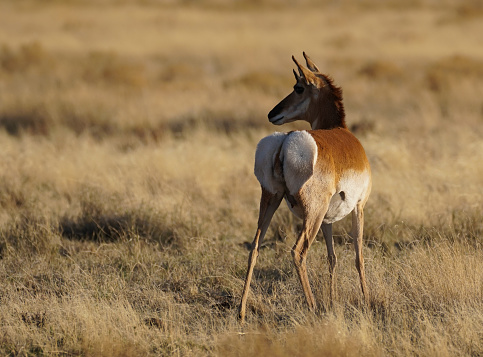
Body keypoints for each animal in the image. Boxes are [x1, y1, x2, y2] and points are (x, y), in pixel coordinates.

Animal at [237, 52, 370, 320]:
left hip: (271, 200)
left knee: (254, 248)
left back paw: (242, 312)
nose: (272, 113)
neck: (339, 131)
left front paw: (333, 300)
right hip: (312, 215)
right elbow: (358, 257)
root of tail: (286, 139)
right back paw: (313, 307)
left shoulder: (329, 219)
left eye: (298, 87)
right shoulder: (359, 207)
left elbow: (332, 257)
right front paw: (368, 301)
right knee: (298, 253)